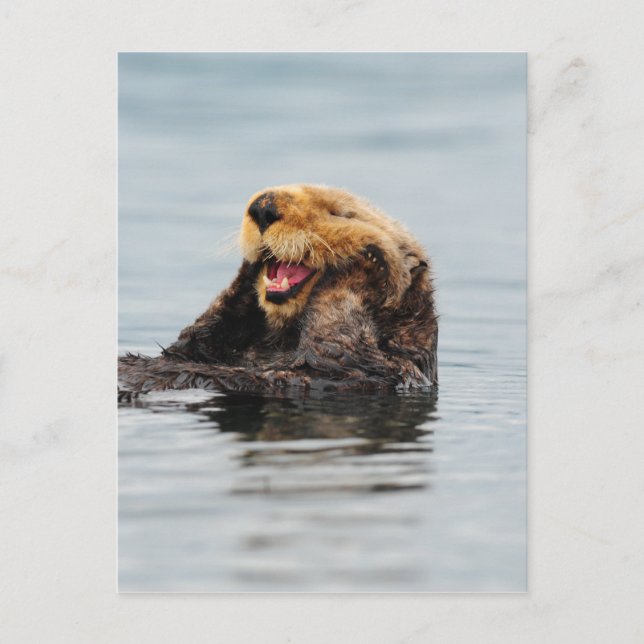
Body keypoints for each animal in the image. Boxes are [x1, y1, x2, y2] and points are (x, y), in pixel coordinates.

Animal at [118, 185, 438, 396]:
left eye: (340, 213)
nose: (263, 207)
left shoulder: (375, 368)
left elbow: (335, 342)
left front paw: (369, 261)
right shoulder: (190, 351)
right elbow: (195, 338)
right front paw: (249, 267)